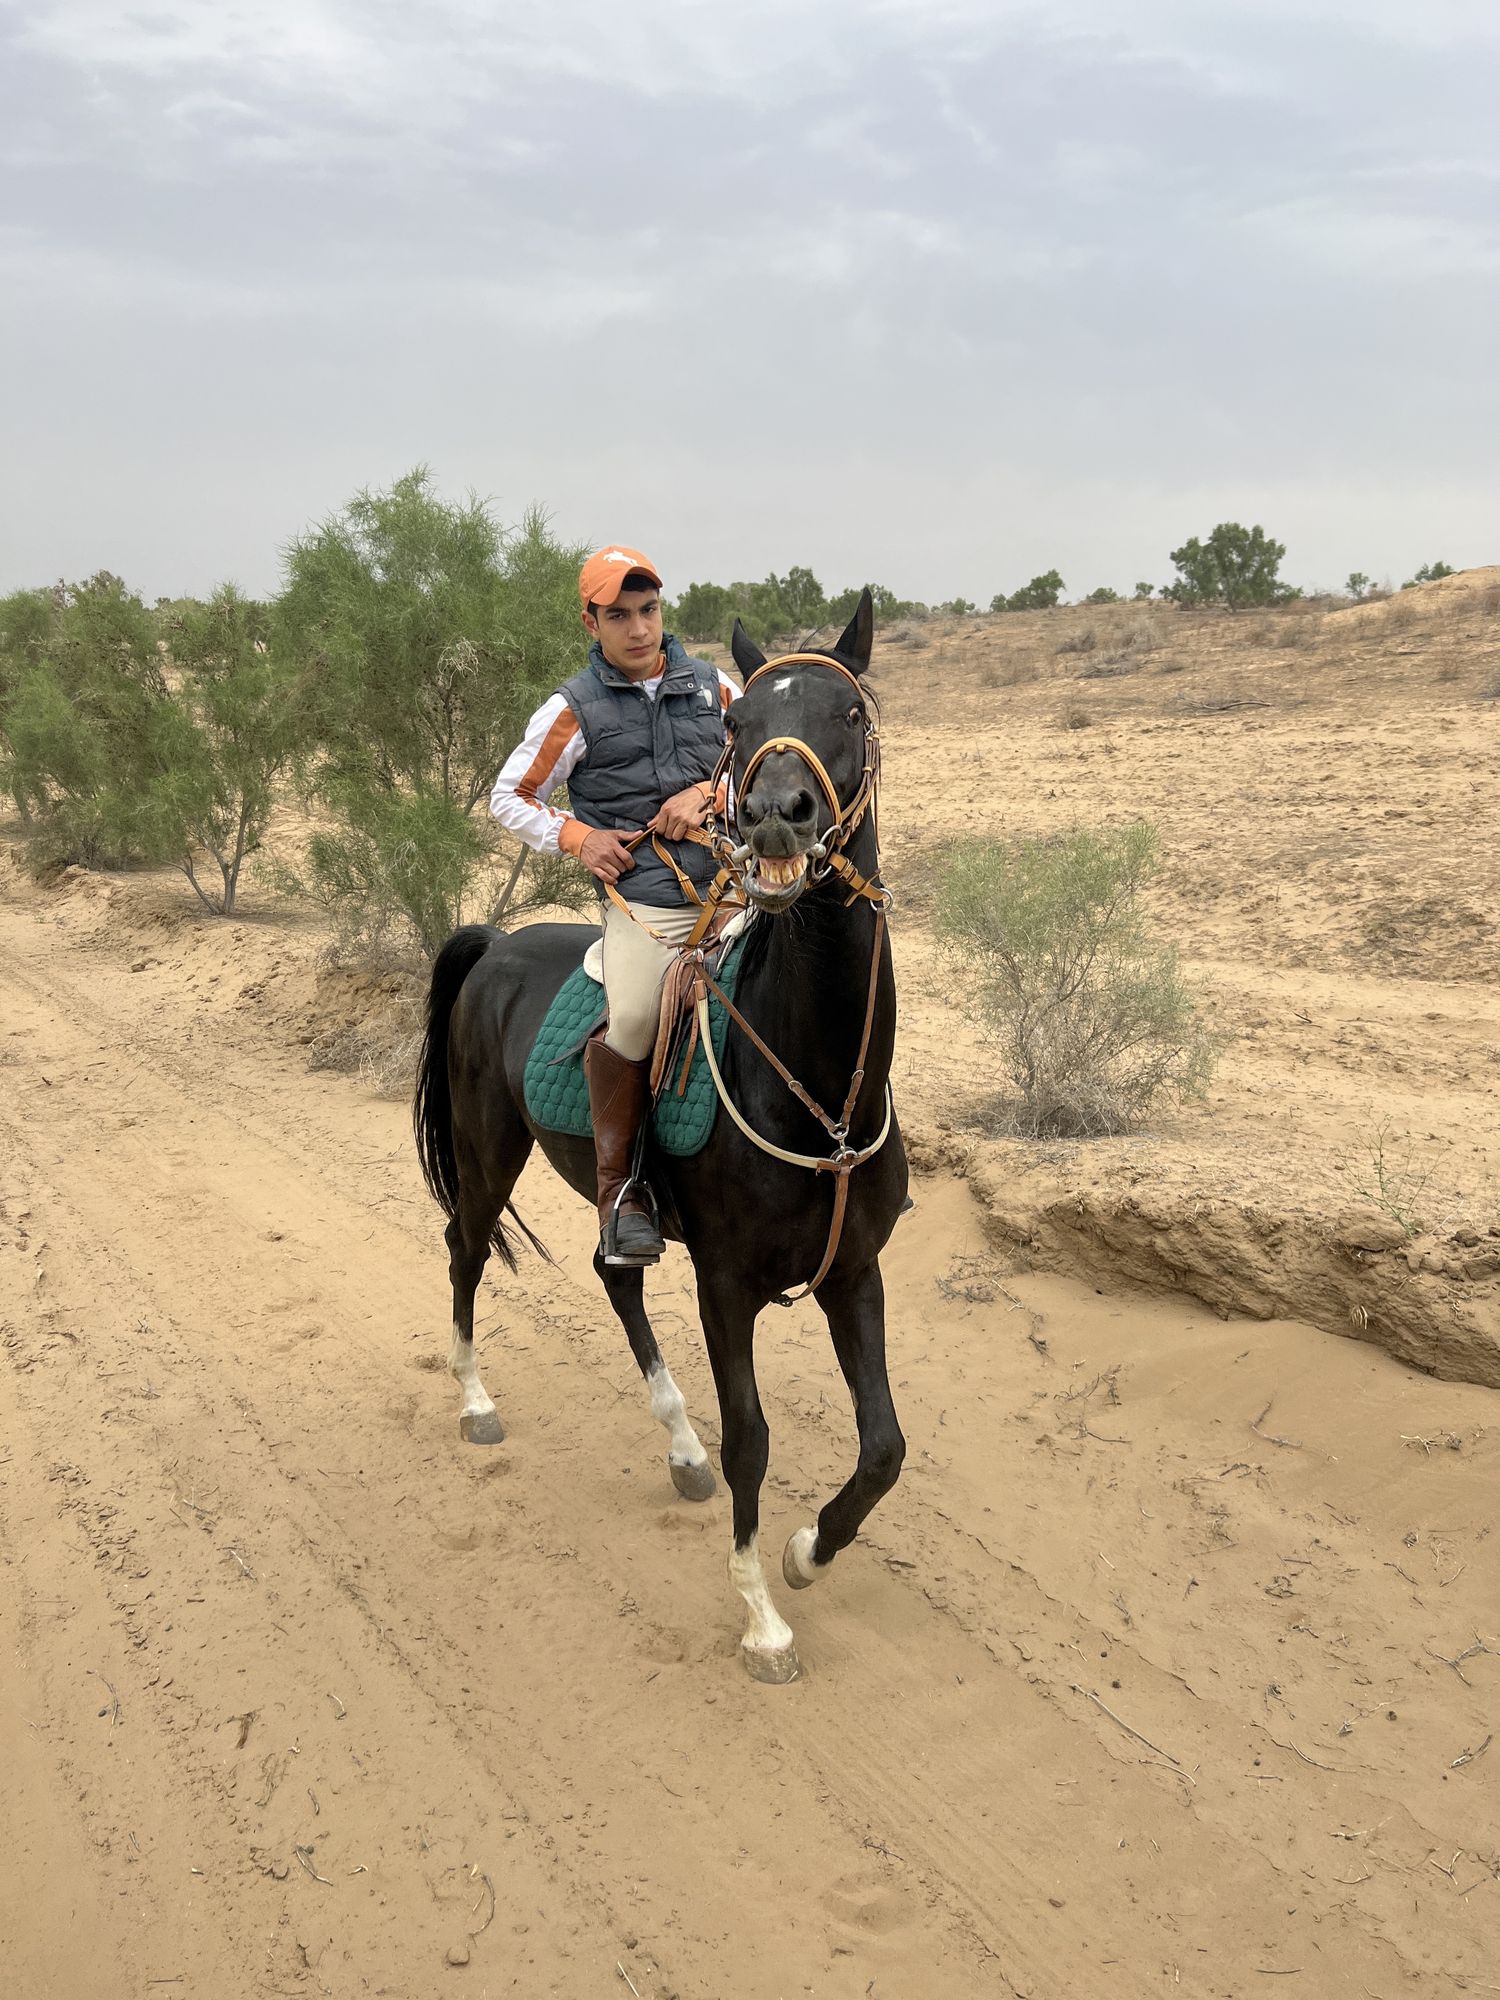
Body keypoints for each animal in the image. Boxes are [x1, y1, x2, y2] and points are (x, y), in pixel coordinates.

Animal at [412, 589, 907, 1683]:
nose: (772, 814)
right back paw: (475, 1404)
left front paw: (809, 1550)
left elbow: (884, 1444)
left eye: (847, 714)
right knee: (465, 1250)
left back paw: (676, 1449)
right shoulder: (725, 1284)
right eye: (738, 723)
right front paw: (763, 1617)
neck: (816, 1091)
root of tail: (495, 943)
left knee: (615, 1270)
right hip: (485, 1153)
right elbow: (752, 1438)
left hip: (610, 1196)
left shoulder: (855, 1272)